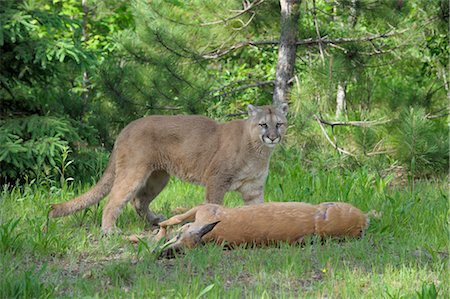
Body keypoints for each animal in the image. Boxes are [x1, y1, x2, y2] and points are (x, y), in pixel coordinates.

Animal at [49, 104, 288, 236]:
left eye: (279, 124)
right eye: (263, 125)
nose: (273, 137)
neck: (259, 151)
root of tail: (126, 127)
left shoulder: (253, 189)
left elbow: (261, 209)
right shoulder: (217, 180)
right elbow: (213, 206)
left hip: (158, 177)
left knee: (139, 200)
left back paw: (155, 220)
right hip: (134, 172)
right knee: (114, 200)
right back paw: (109, 230)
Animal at [153, 202, 370, 258]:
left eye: (186, 251)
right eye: (179, 238)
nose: (163, 254)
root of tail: (364, 219)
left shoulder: (206, 207)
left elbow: (172, 220)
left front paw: (156, 238)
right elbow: (173, 220)